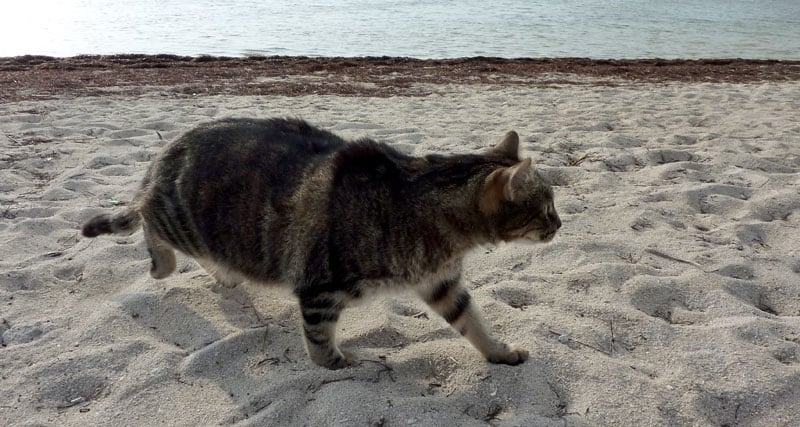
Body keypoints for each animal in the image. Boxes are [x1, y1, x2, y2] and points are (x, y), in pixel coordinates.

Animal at [78, 118, 560, 370]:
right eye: (546, 205)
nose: (560, 223)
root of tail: (168, 149)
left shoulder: (443, 285)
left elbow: (473, 323)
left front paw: (498, 353)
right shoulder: (320, 287)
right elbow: (319, 337)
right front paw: (336, 363)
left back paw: (223, 273)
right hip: (180, 221)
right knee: (145, 218)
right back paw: (160, 262)